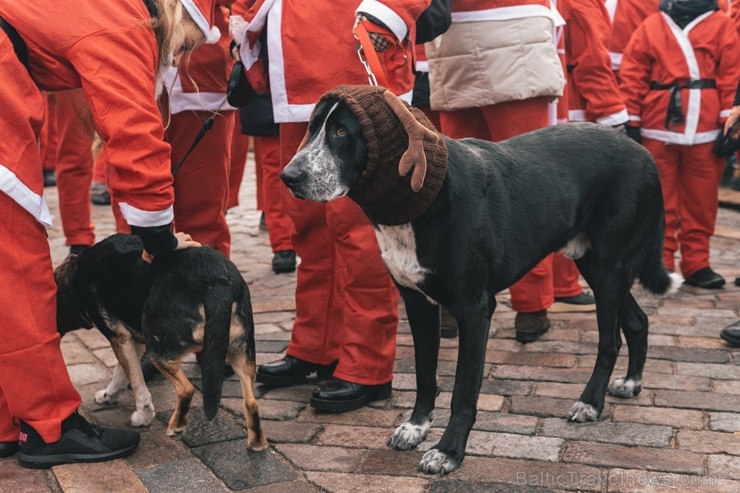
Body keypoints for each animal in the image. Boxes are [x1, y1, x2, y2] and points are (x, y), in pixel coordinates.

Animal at [55, 234, 268, 450]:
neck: (76, 275)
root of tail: (218, 282)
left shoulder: (119, 337)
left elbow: (137, 383)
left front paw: (143, 416)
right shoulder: (131, 339)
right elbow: (122, 372)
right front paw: (109, 394)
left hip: (158, 348)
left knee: (186, 389)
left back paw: (177, 425)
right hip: (241, 352)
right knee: (251, 402)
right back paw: (257, 443)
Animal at [280, 84, 672, 472]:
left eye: (341, 132)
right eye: (312, 128)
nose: (289, 177)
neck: (425, 198)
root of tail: (644, 152)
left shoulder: (474, 309)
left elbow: (463, 389)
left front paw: (448, 450)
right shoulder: (418, 303)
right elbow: (425, 374)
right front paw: (416, 427)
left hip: (609, 268)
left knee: (610, 341)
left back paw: (590, 402)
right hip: (597, 266)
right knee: (637, 321)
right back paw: (631, 382)